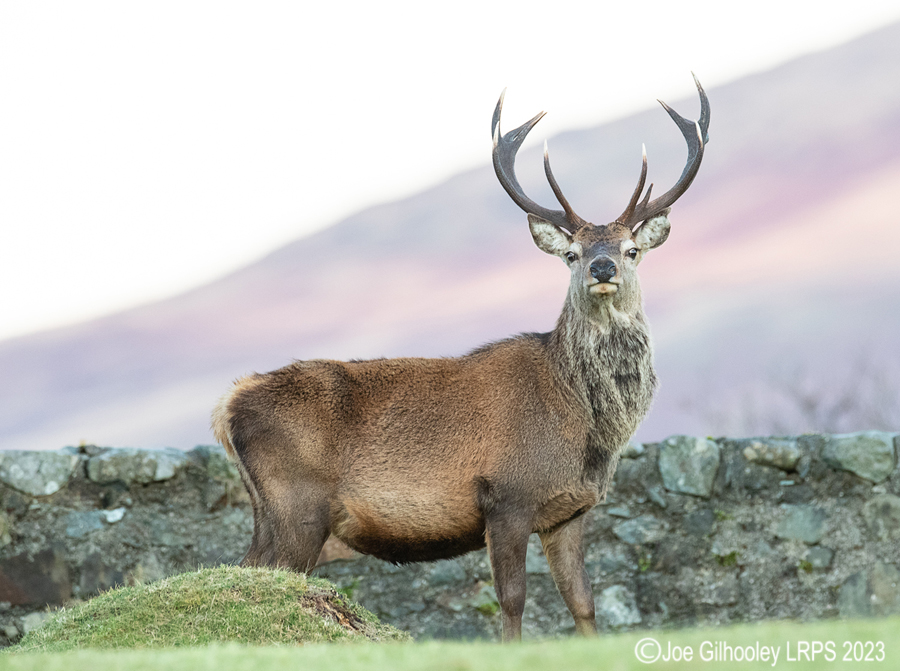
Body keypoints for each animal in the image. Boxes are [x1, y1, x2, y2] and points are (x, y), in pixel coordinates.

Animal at [212, 75, 709, 641]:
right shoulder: (506, 497)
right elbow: (512, 600)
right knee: (253, 574)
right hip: (295, 504)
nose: (602, 267)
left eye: (632, 250)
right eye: (571, 253)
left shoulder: (568, 511)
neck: (586, 426)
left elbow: (583, 601)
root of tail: (227, 406)